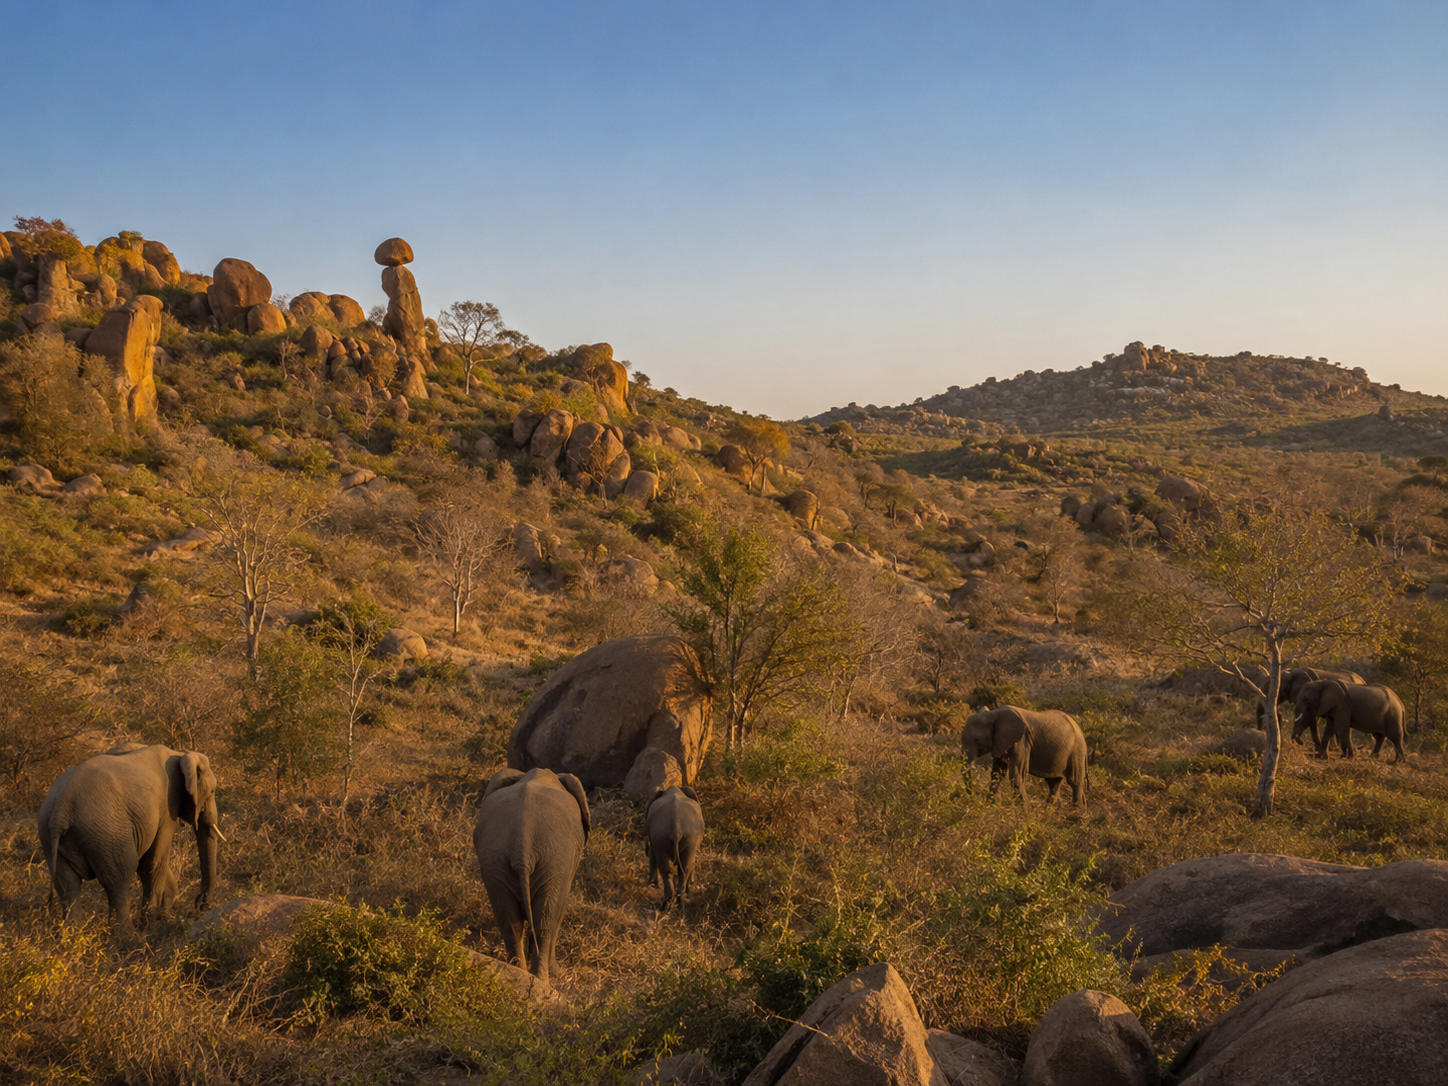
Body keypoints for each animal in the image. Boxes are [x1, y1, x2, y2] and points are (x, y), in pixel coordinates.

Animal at [37, 744, 222, 937]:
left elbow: (147, 862)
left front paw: (162, 915)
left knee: (68, 885)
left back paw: (76, 936)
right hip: (107, 833)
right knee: (119, 877)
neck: (179, 754)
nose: (199, 904)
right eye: (212, 792)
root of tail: (61, 810)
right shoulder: (168, 804)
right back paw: (128, 937)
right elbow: (154, 861)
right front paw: (151, 924)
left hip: (49, 836)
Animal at [473, 766, 590, 987]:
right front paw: (557, 973)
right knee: (545, 921)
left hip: (495, 860)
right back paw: (542, 979)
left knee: (510, 922)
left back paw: (520, 975)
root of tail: (522, 844)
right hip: (553, 860)